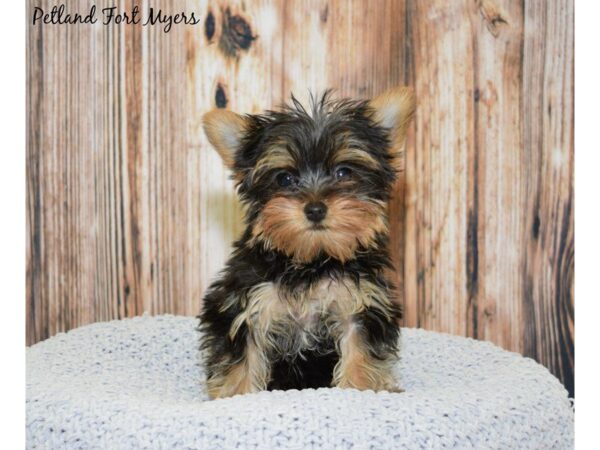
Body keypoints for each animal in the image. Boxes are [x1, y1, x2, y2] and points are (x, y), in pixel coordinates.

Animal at [199, 87, 414, 398]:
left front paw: (360, 388)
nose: (315, 208)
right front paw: (236, 395)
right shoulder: (243, 304)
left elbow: (360, 351)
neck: (312, 261)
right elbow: (242, 358)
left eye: (343, 172)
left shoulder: (361, 302)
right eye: (285, 178)